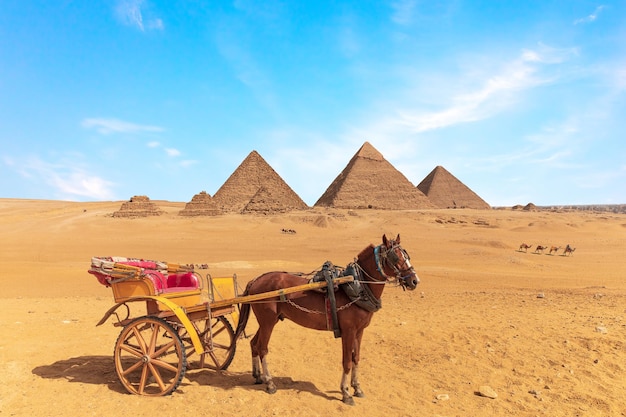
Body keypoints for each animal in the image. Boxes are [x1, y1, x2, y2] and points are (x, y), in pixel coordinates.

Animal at [232, 236, 416, 404]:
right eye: (395, 257)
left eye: (406, 255)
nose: (414, 280)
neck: (357, 285)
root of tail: (255, 280)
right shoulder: (348, 331)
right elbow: (347, 361)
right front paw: (346, 393)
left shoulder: (359, 331)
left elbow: (356, 358)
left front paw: (357, 388)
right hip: (268, 321)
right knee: (262, 348)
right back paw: (270, 383)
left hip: (267, 321)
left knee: (254, 344)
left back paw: (258, 376)